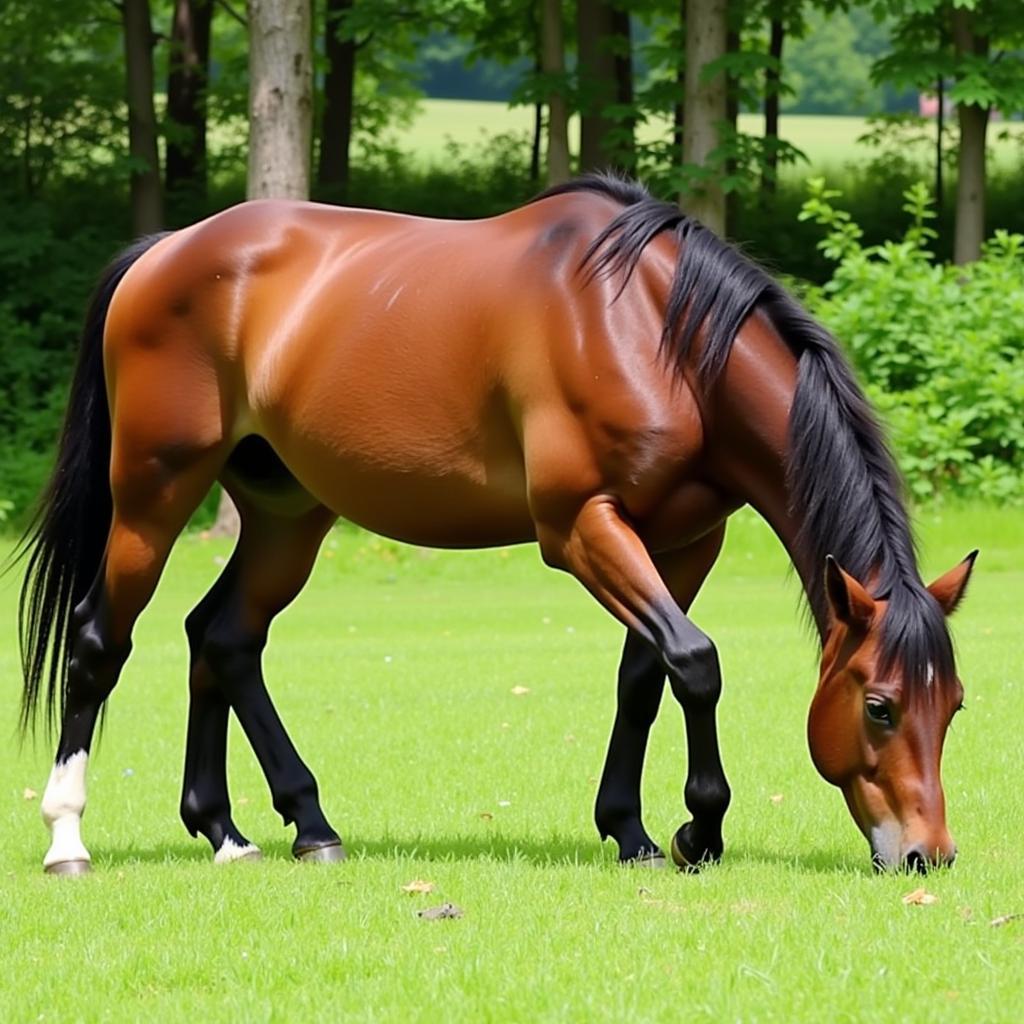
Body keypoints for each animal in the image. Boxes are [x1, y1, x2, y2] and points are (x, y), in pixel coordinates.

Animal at [18, 172, 974, 876]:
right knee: (102, 638)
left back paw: (259, 829)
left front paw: (631, 831)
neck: (652, 331)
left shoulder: (683, 541)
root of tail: (165, 252)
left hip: (287, 515)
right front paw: (698, 832)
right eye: (880, 706)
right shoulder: (581, 527)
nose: (927, 856)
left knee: (221, 637)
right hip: (153, 495)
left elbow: (647, 673)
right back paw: (69, 839)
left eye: (956, 704)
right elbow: (695, 663)